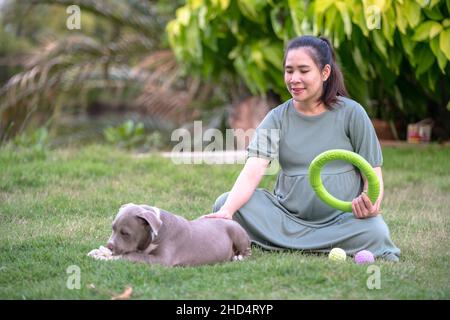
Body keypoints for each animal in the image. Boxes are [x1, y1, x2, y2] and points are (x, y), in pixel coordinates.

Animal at [107, 202, 251, 268]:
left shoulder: (163, 260)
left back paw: (239, 257)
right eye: (112, 228)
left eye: (125, 233)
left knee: (247, 251)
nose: (109, 246)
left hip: (237, 233)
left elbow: (134, 255)